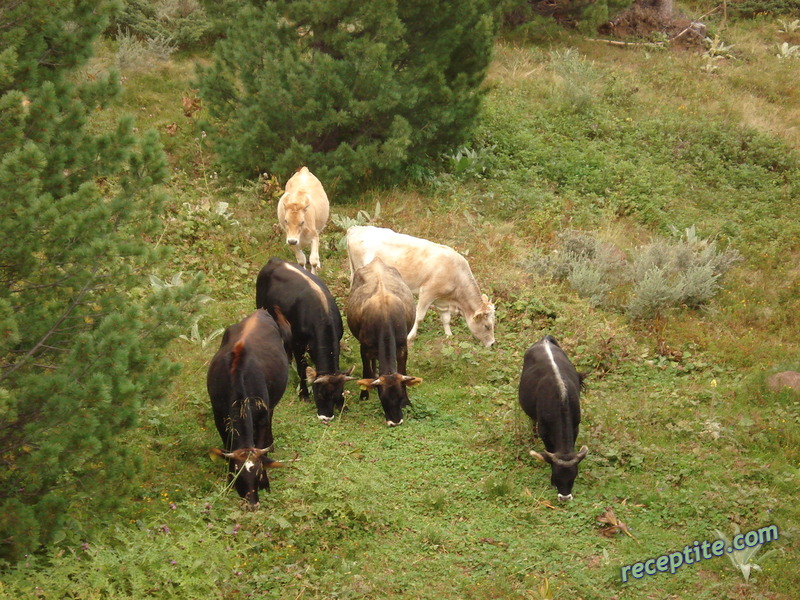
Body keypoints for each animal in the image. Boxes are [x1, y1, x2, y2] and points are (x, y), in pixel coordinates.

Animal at [208, 310, 292, 506]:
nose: (252, 504)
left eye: (259, 474)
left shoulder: (262, 417)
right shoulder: (219, 417)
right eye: (236, 475)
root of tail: (260, 312)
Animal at [256, 256, 356, 422]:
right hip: (261, 307)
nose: (326, 417)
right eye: (319, 393)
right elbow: (302, 368)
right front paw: (303, 394)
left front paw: (343, 405)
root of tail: (275, 260)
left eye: (337, 395)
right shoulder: (298, 343)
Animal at [348, 225, 496, 346]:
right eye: (487, 326)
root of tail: (356, 228)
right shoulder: (427, 292)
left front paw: (449, 336)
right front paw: (410, 337)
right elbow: (419, 317)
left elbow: (446, 319)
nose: (493, 343)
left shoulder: (441, 300)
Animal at [348, 258, 424, 426]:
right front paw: (364, 396)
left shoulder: (402, 346)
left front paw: (408, 403)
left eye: (401, 396)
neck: (384, 316)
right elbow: (366, 370)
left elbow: (403, 371)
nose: (395, 422)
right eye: (382, 398)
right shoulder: (364, 348)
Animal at [520, 338, 588, 502]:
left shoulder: (575, 426)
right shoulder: (544, 431)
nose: (565, 497)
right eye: (556, 476)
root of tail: (544, 340)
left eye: (574, 475)